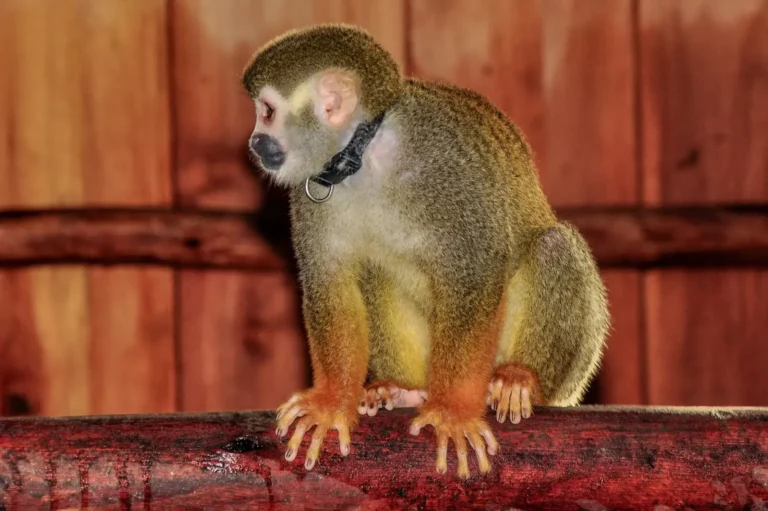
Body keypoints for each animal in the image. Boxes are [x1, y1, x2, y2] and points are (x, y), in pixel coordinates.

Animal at [241, 23, 610, 479]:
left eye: (267, 111)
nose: (255, 142)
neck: (363, 156)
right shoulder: (311, 192)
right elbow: (332, 283)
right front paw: (330, 402)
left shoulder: (446, 171)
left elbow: (474, 273)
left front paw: (452, 412)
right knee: (375, 271)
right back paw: (402, 390)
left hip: (569, 376)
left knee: (553, 246)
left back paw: (521, 379)